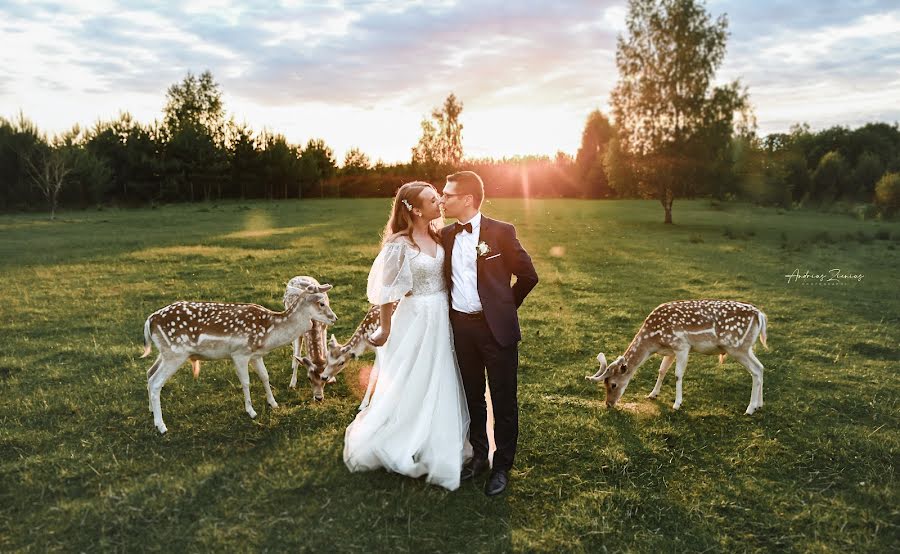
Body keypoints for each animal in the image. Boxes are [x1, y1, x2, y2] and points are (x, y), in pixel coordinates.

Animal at [141, 282, 338, 434]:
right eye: (321, 303)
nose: (335, 318)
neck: (269, 333)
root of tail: (149, 321)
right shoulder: (239, 353)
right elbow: (246, 381)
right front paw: (251, 411)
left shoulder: (256, 355)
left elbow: (265, 376)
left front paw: (273, 403)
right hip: (175, 353)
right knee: (157, 382)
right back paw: (161, 426)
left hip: (165, 353)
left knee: (149, 373)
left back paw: (150, 411)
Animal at [588, 300, 768, 412]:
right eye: (605, 383)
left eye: (613, 384)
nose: (608, 404)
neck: (654, 341)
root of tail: (760, 315)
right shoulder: (670, 351)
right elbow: (662, 370)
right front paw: (653, 394)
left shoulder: (682, 346)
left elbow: (677, 375)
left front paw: (677, 404)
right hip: (747, 348)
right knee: (761, 367)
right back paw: (759, 405)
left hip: (737, 347)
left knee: (755, 371)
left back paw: (750, 408)